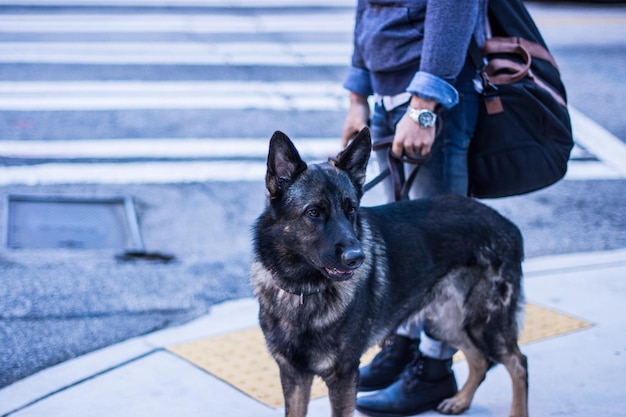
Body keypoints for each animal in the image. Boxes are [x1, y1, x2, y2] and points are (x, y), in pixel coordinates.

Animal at [251, 127, 524, 416]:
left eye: (351, 210)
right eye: (313, 212)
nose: (357, 258)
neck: (303, 291)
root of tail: (509, 225)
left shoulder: (343, 376)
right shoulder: (293, 375)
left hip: (485, 325)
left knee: (518, 362)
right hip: (445, 323)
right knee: (480, 360)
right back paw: (460, 400)